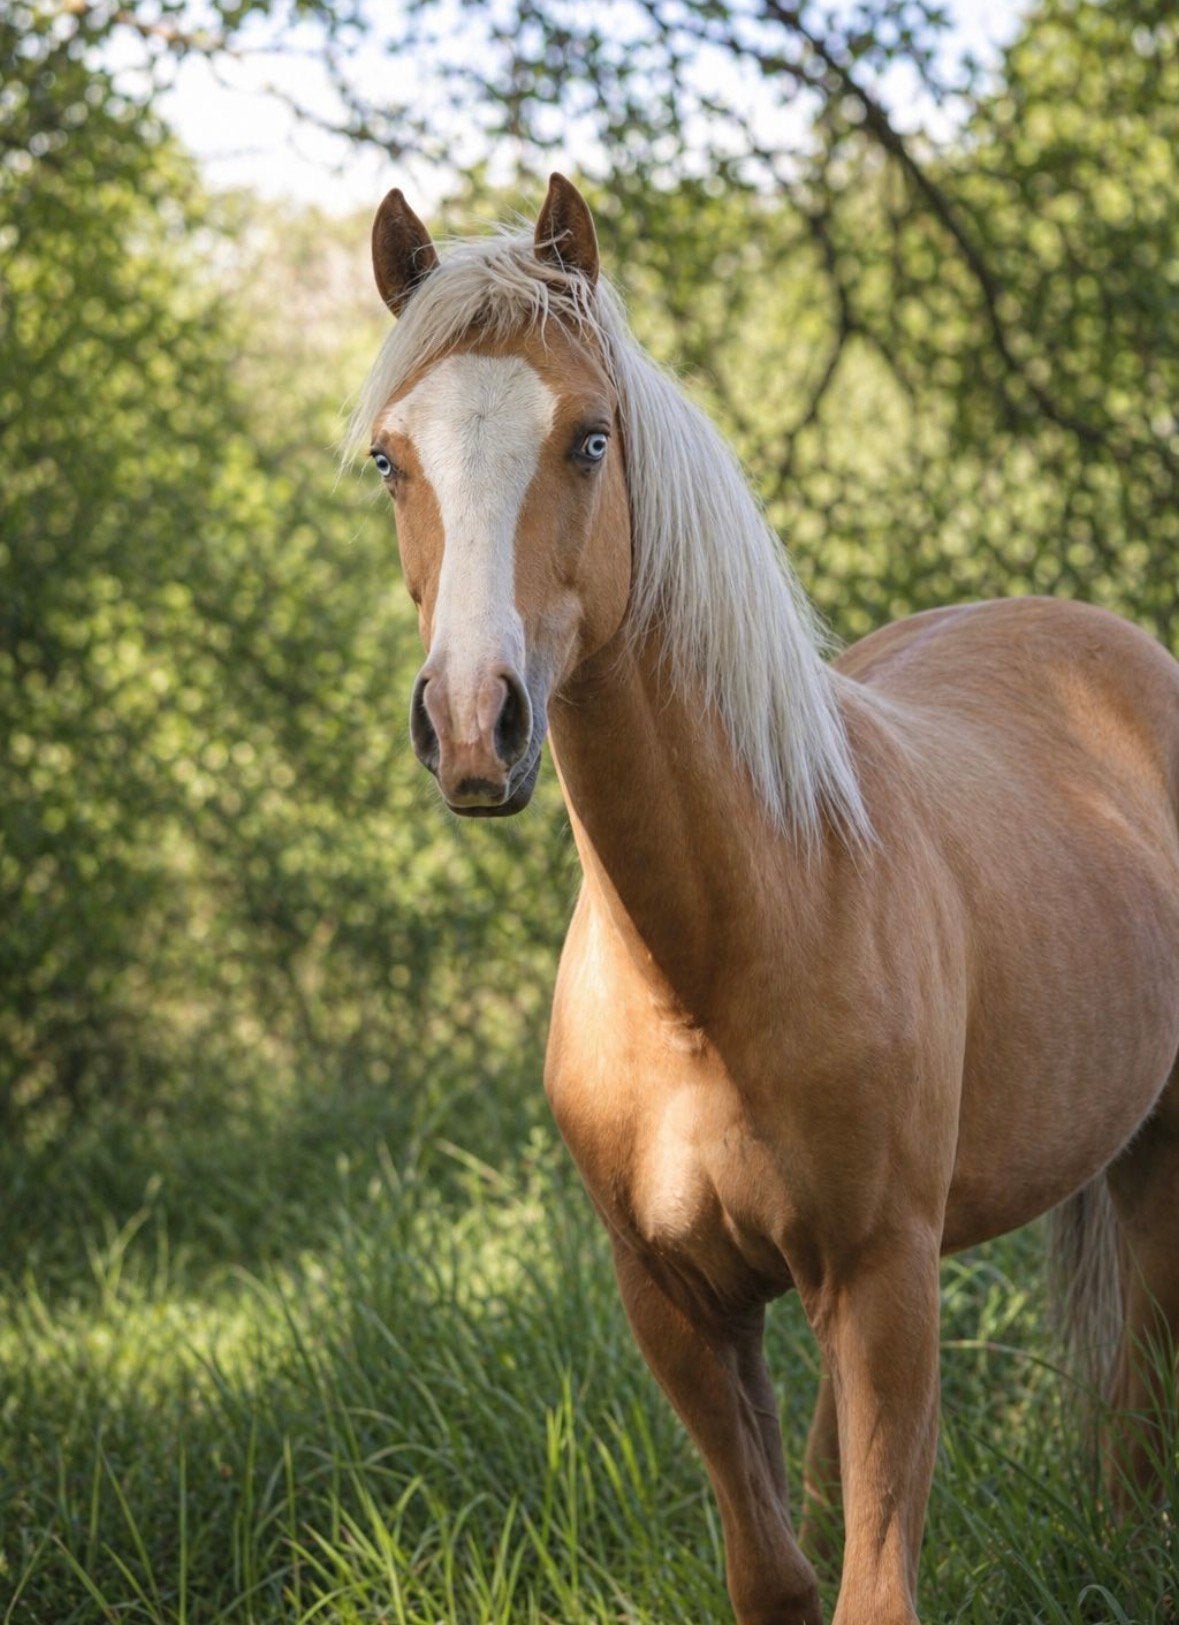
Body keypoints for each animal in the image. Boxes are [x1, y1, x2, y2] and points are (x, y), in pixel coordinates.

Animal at [348, 173, 1179, 1625]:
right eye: (393, 458)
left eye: (589, 438)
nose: (468, 721)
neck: (720, 952)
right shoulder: (679, 1303)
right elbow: (777, 1569)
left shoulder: (887, 1282)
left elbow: (870, 1582)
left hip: (1152, 1159)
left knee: (1135, 1389)